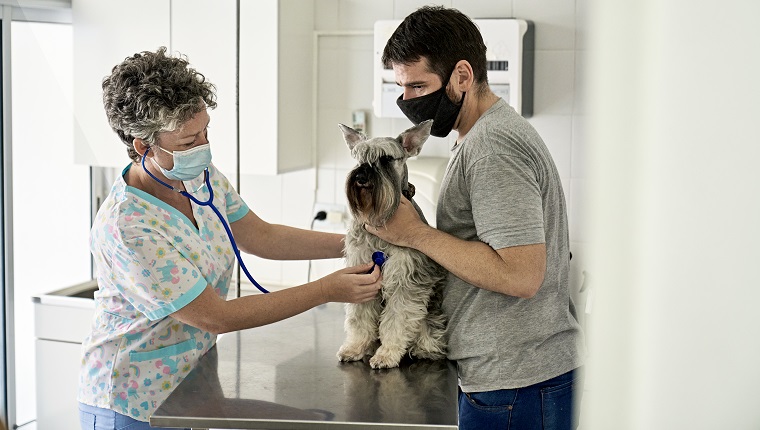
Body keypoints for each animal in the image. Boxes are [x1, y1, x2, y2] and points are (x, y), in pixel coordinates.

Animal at [336, 120, 448, 370]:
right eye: (359, 158)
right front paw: (355, 347)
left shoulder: (405, 280)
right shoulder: (363, 274)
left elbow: (397, 320)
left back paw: (425, 349)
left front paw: (386, 354)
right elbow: (359, 317)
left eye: (386, 158)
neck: (379, 217)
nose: (361, 176)